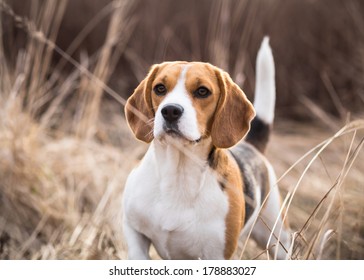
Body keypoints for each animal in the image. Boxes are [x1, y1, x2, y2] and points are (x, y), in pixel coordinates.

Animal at [123, 37, 292, 260]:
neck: (178, 174)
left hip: (278, 238)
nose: (170, 111)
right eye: (159, 88)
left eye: (202, 91)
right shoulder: (134, 230)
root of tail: (251, 145)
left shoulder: (216, 254)